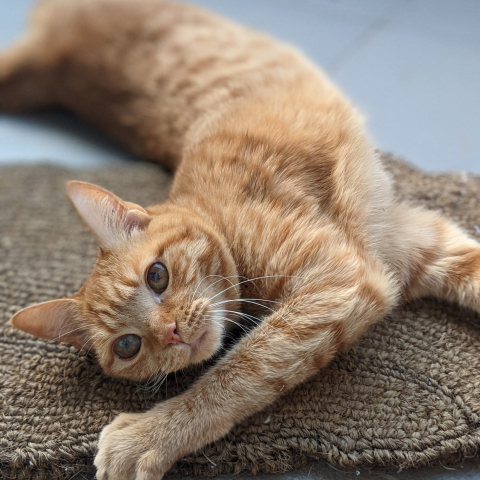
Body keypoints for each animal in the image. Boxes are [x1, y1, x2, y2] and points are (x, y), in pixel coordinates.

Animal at [3, 1, 480, 478]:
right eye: (127, 345)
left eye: (157, 276)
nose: (171, 333)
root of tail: (52, 57)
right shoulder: (403, 251)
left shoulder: (336, 281)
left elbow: (236, 374)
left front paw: (148, 436)